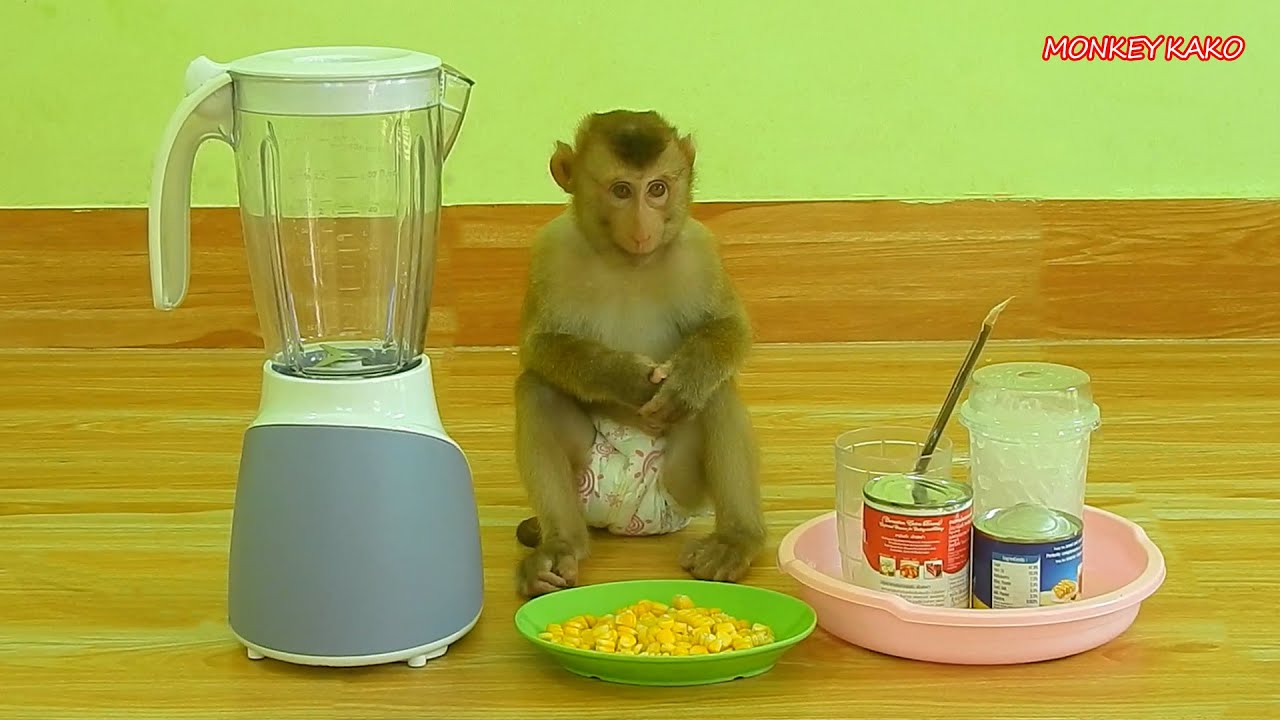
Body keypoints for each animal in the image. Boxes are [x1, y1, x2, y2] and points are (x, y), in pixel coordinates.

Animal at [512, 109, 765, 598]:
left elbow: (729, 328)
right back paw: (559, 547)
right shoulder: (550, 249)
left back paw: (736, 540)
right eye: (622, 191)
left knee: (719, 391)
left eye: (658, 189)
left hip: (679, 493)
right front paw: (625, 379)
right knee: (535, 389)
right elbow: (539, 346)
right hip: (588, 487)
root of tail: (629, 519)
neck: (627, 260)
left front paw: (686, 380)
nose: (643, 227)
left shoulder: (699, 249)